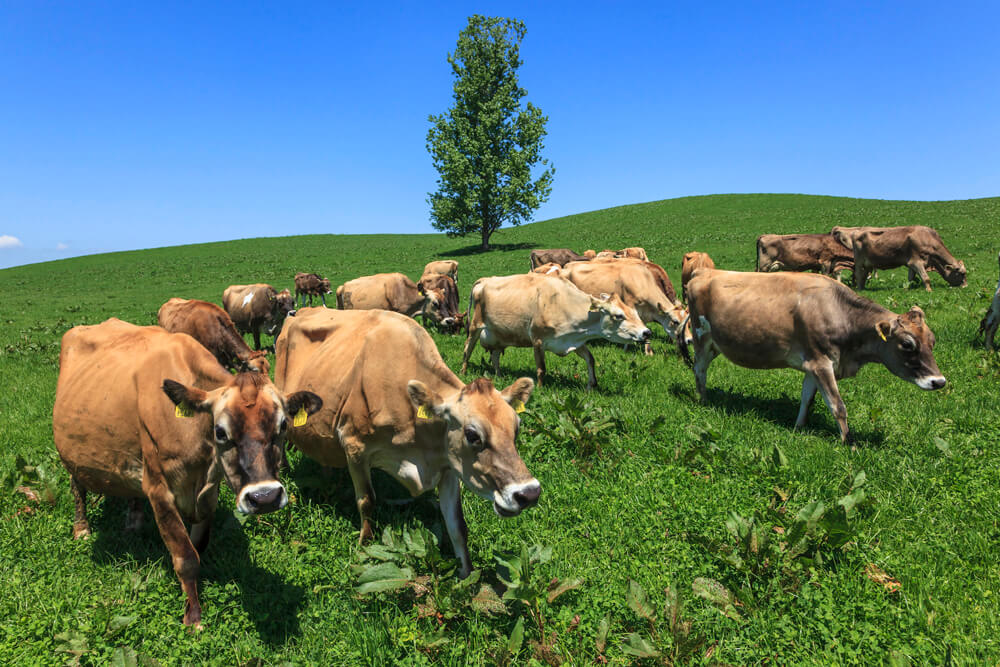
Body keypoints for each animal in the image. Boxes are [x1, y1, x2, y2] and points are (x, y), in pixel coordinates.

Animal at [51, 318, 320, 628]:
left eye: (283, 425)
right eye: (220, 431)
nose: (264, 498)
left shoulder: (210, 490)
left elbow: (198, 545)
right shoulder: (160, 490)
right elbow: (184, 556)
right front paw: (193, 616)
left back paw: (133, 521)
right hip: (71, 455)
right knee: (77, 488)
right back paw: (81, 528)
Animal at [274, 308, 540, 576]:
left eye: (516, 429)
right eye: (472, 435)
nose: (529, 493)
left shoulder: (449, 465)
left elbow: (457, 524)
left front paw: (466, 574)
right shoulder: (355, 446)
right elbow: (367, 501)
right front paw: (364, 547)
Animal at [458, 272, 648, 388]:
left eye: (635, 313)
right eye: (618, 315)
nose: (646, 332)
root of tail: (485, 279)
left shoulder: (575, 340)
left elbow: (590, 359)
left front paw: (592, 385)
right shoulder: (537, 340)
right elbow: (541, 368)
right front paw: (541, 388)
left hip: (498, 335)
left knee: (495, 356)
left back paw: (499, 376)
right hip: (475, 326)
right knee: (467, 349)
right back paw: (463, 372)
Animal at [680, 268, 944, 446]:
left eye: (932, 341)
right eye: (907, 344)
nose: (939, 381)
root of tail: (704, 272)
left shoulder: (812, 365)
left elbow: (807, 399)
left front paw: (798, 428)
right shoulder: (821, 363)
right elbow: (838, 405)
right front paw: (848, 443)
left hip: (715, 344)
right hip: (702, 338)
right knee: (699, 370)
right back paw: (703, 400)